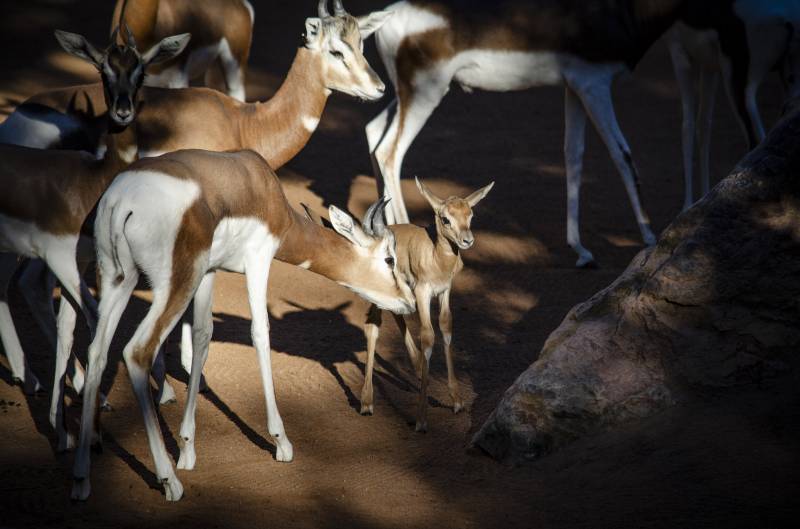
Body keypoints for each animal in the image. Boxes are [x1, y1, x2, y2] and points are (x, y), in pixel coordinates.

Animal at [0, 28, 190, 450]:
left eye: (140, 70)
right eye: (103, 69)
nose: (122, 111)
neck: (95, 177)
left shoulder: (85, 261)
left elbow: (73, 324)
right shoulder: (61, 257)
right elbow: (91, 321)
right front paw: (81, 432)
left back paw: (33, 378)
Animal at [71, 148, 416, 500]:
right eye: (389, 258)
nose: (409, 303)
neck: (261, 186)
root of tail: (121, 199)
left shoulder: (210, 272)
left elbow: (202, 336)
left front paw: (188, 448)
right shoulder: (258, 261)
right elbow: (260, 333)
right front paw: (281, 442)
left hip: (118, 279)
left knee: (97, 352)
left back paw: (82, 478)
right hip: (175, 284)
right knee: (137, 352)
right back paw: (169, 481)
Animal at [360, 177, 490, 434]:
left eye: (470, 214)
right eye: (445, 218)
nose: (467, 240)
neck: (437, 257)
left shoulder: (444, 291)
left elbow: (446, 328)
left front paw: (457, 400)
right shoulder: (423, 292)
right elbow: (428, 337)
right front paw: (421, 419)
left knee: (396, 314)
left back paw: (417, 366)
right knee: (372, 327)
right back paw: (367, 403)